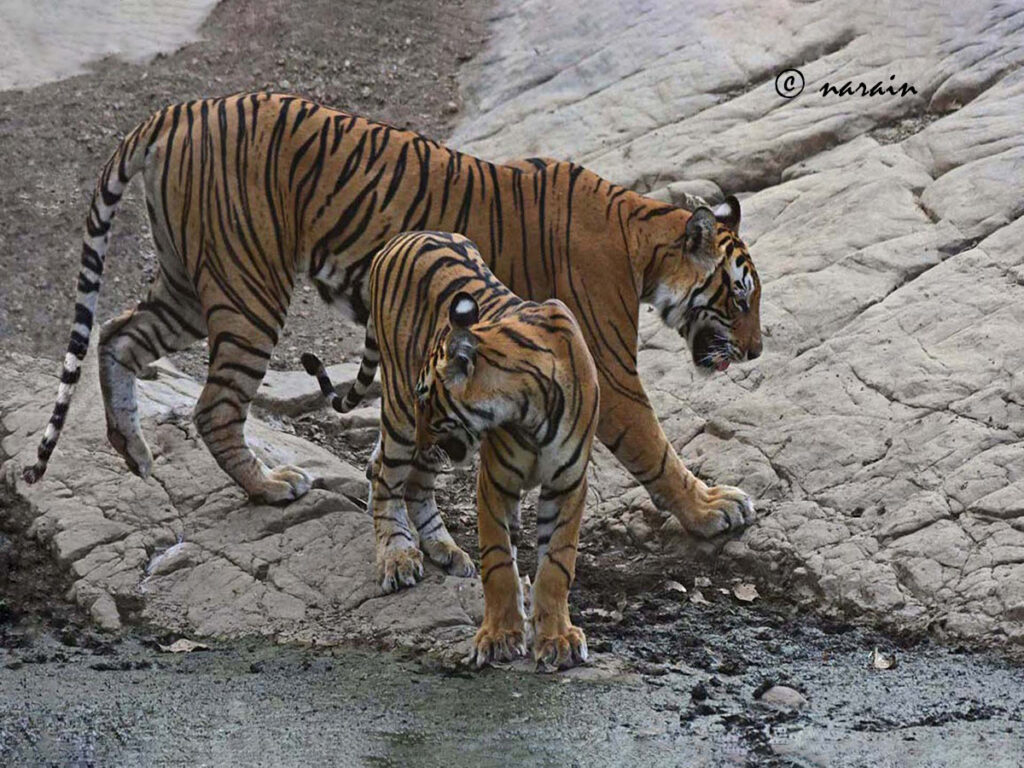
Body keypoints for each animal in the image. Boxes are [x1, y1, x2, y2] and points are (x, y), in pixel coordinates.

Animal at [24, 91, 761, 536]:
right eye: (741, 295)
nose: (755, 352)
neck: (641, 239)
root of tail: (182, 107)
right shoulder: (603, 367)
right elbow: (654, 446)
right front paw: (712, 509)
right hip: (248, 287)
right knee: (214, 407)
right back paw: (270, 487)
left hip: (190, 279)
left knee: (116, 334)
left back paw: (133, 449)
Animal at [303, 230, 598, 667]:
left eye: (429, 399)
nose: (425, 436)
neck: (532, 409)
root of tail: (402, 237)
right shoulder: (494, 482)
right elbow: (499, 561)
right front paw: (499, 636)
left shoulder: (568, 484)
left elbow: (556, 564)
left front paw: (557, 637)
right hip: (398, 412)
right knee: (388, 479)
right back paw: (397, 557)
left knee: (412, 484)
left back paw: (443, 548)